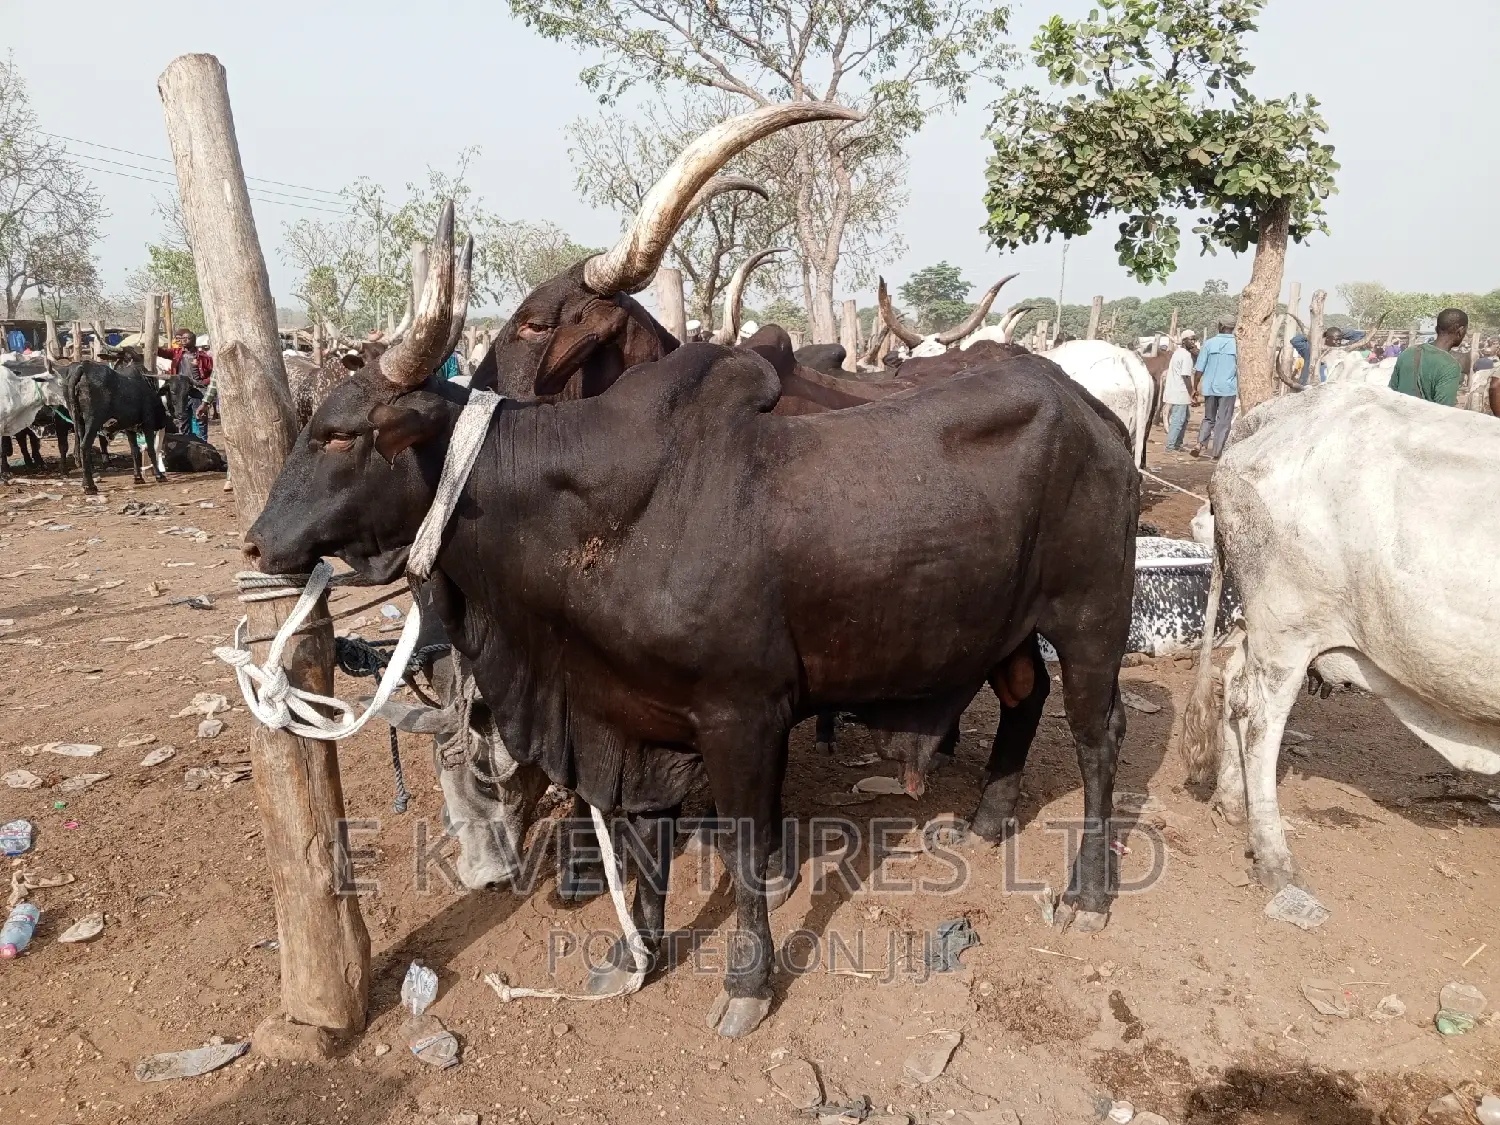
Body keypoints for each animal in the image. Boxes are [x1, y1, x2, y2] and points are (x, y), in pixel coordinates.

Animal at [246, 194, 1138, 1038]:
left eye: (340, 434)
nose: (258, 541)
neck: (593, 510)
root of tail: (1095, 409)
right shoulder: (634, 718)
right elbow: (643, 841)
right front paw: (634, 947)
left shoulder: (743, 714)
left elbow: (743, 851)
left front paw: (748, 981)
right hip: (1010, 624)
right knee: (1024, 693)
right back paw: (986, 822)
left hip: (1093, 619)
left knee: (1100, 739)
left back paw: (1089, 894)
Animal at [1180, 385, 1500, 893]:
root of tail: (1284, 410)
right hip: (1288, 626)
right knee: (1260, 719)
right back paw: (1273, 857)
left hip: (1267, 626)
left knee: (1233, 684)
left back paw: (1232, 807)